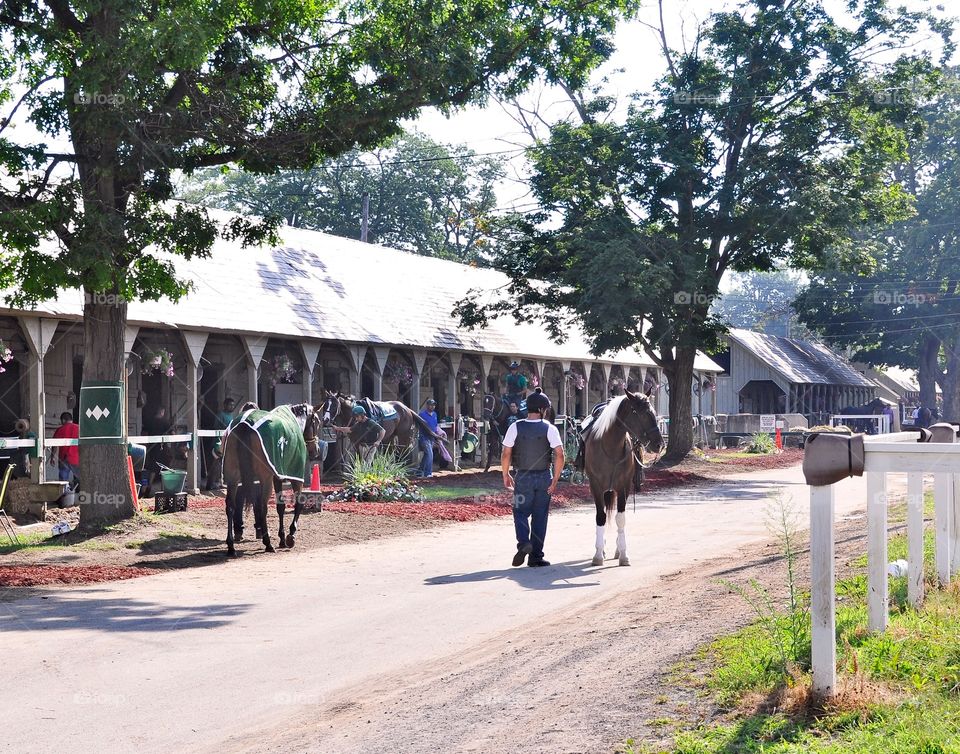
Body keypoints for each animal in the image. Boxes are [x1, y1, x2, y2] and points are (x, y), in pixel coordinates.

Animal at [220, 402, 322, 556]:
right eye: (316, 422)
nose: (315, 450)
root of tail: (244, 424)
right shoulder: (295, 477)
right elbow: (299, 502)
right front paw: (290, 535)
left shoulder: (277, 476)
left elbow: (281, 506)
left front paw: (282, 538)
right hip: (265, 478)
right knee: (262, 506)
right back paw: (267, 542)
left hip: (233, 476)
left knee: (231, 506)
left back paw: (231, 545)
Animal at [580, 390, 664, 560]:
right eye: (643, 414)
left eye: (653, 412)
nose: (659, 444)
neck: (609, 447)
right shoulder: (596, 486)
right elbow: (601, 516)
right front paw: (598, 554)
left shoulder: (623, 486)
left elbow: (620, 518)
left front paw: (623, 553)